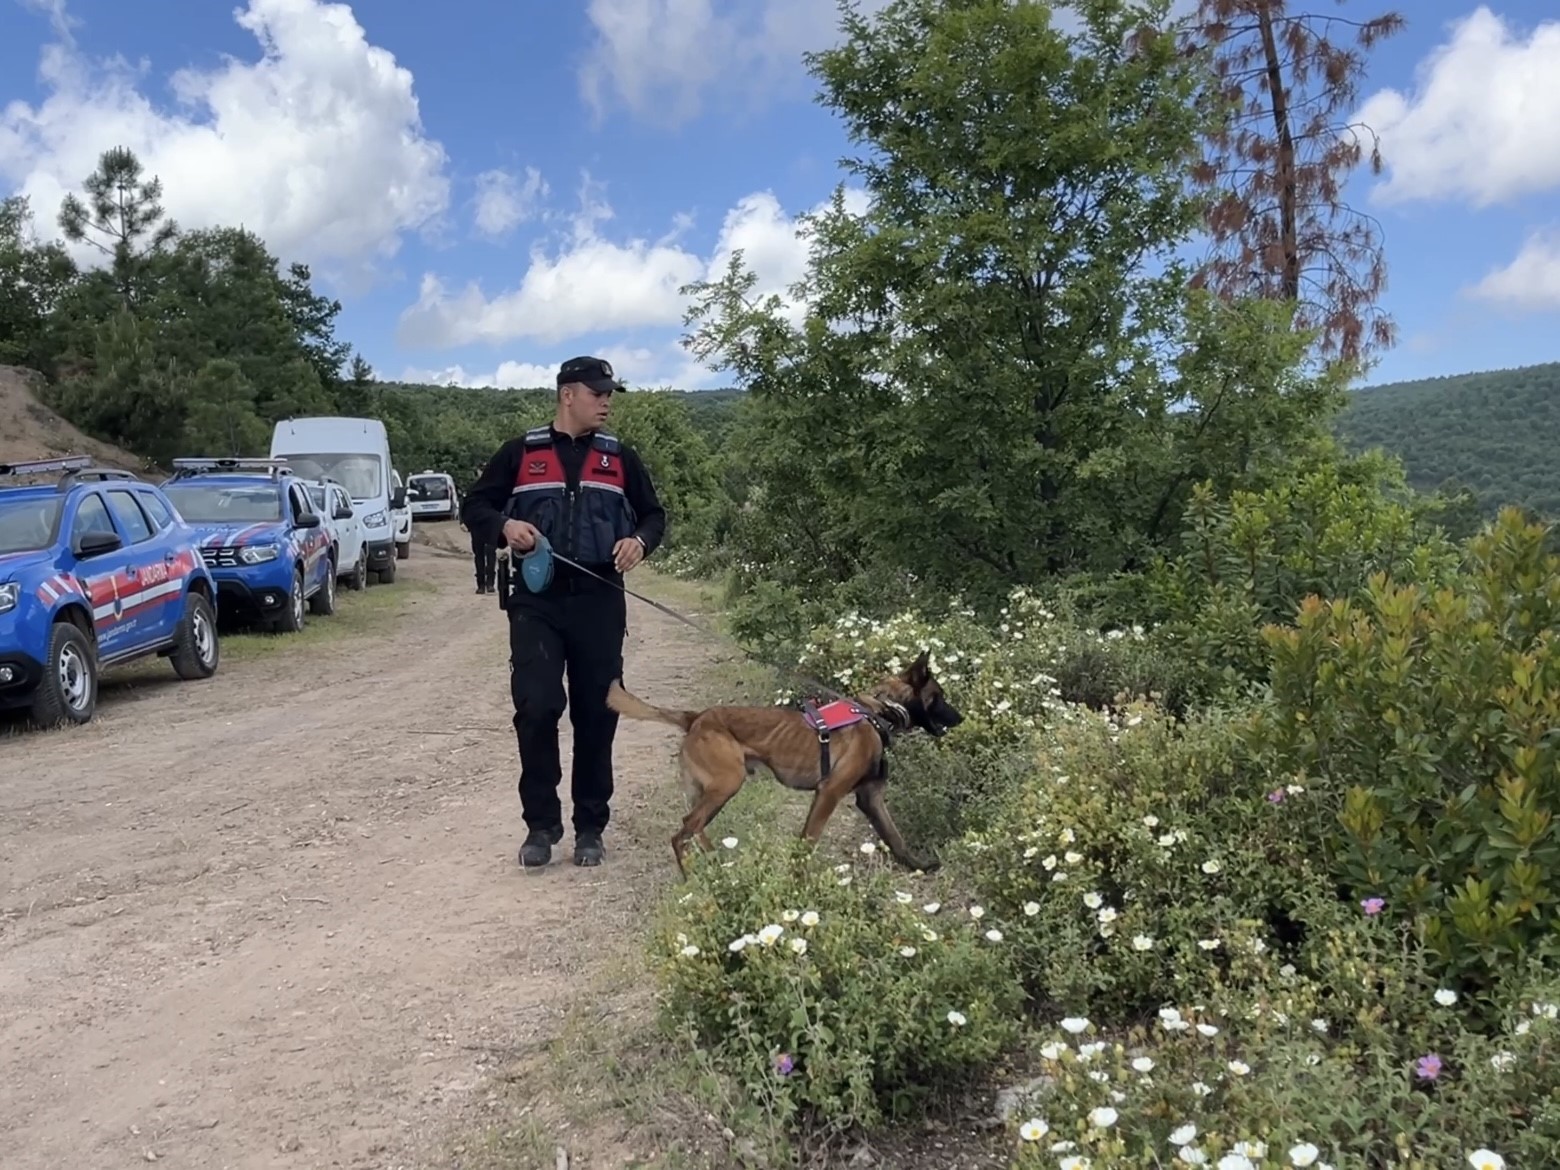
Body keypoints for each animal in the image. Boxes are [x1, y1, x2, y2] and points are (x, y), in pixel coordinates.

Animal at [605, 655, 960, 873]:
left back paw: (716, 869)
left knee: (695, 827)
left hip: (712, 789)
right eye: (939, 696)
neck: (878, 712)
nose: (961, 718)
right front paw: (798, 880)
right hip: (727, 783)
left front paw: (919, 866)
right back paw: (693, 877)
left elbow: (896, 838)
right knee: (683, 832)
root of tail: (696, 717)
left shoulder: (870, 798)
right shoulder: (829, 793)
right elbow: (807, 841)